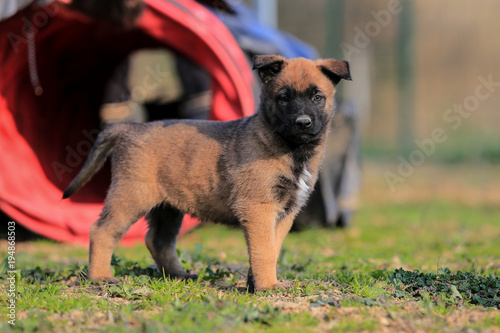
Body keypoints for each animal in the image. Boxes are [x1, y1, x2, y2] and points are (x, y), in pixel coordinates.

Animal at [62, 54, 352, 290]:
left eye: (317, 97)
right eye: (284, 98)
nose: (303, 122)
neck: (289, 149)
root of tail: (129, 128)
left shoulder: (284, 213)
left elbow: (270, 248)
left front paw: (255, 283)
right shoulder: (258, 207)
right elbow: (264, 250)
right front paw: (268, 287)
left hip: (167, 208)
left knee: (157, 240)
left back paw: (178, 275)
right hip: (131, 196)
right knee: (101, 231)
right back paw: (100, 277)